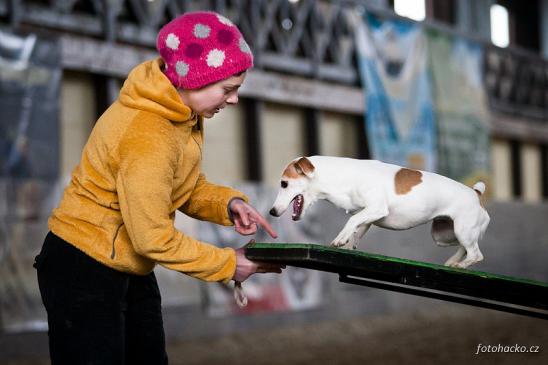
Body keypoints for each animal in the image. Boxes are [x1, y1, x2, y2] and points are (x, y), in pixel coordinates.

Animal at [268, 156, 488, 268]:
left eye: (284, 184)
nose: (271, 211)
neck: (343, 175)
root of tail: (476, 194)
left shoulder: (376, 208)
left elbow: (351, 222)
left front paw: (340, 239)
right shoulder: (367, 217)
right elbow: (356, 231)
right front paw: (348, 246)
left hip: (461, 230)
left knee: (476, 254)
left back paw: (461, 265)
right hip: (443, 235)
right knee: (465, 247)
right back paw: (453, 261)